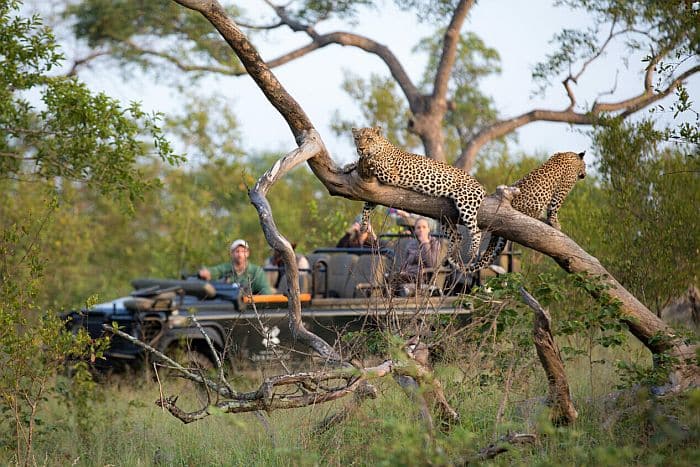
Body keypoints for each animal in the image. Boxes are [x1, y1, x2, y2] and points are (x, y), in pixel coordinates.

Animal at [352, 126, 500, 276]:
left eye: (369, 139)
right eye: (357, 138)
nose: (361, 149)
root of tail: (481, 186)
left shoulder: (391, 175)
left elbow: (375, 164)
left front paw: (357, 162)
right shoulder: (375, 191)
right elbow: (367, 205)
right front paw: (363, 225)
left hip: (466, 203)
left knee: (476, 230)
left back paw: (471, 253)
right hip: (445, 218)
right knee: (457, 236)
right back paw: (448, 258)